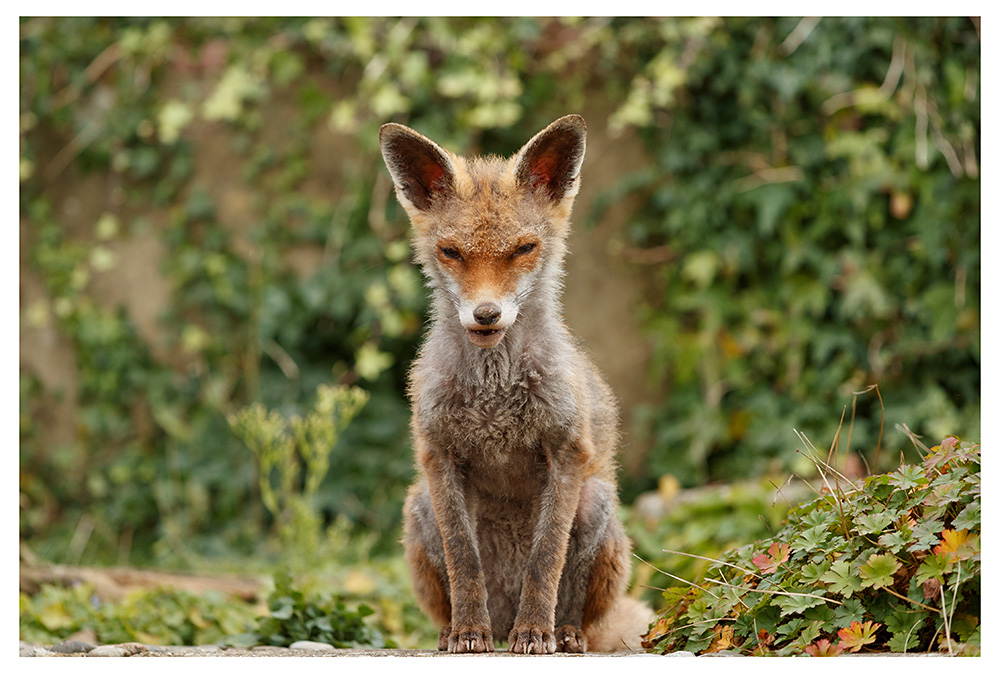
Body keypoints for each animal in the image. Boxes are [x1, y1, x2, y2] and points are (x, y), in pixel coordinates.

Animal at [379, 114, 653, 654]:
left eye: (524, 249)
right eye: (451, 252)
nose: (486, 314)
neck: (495, 399)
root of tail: (501, 620)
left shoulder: (566, 452)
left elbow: (546, 559)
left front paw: (536, 631)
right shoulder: (438, 454)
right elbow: (464, 560)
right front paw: (468, 631)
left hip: (597, 504)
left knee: (575, 603)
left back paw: (561, 633)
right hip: (419, 505)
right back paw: (456, 631)